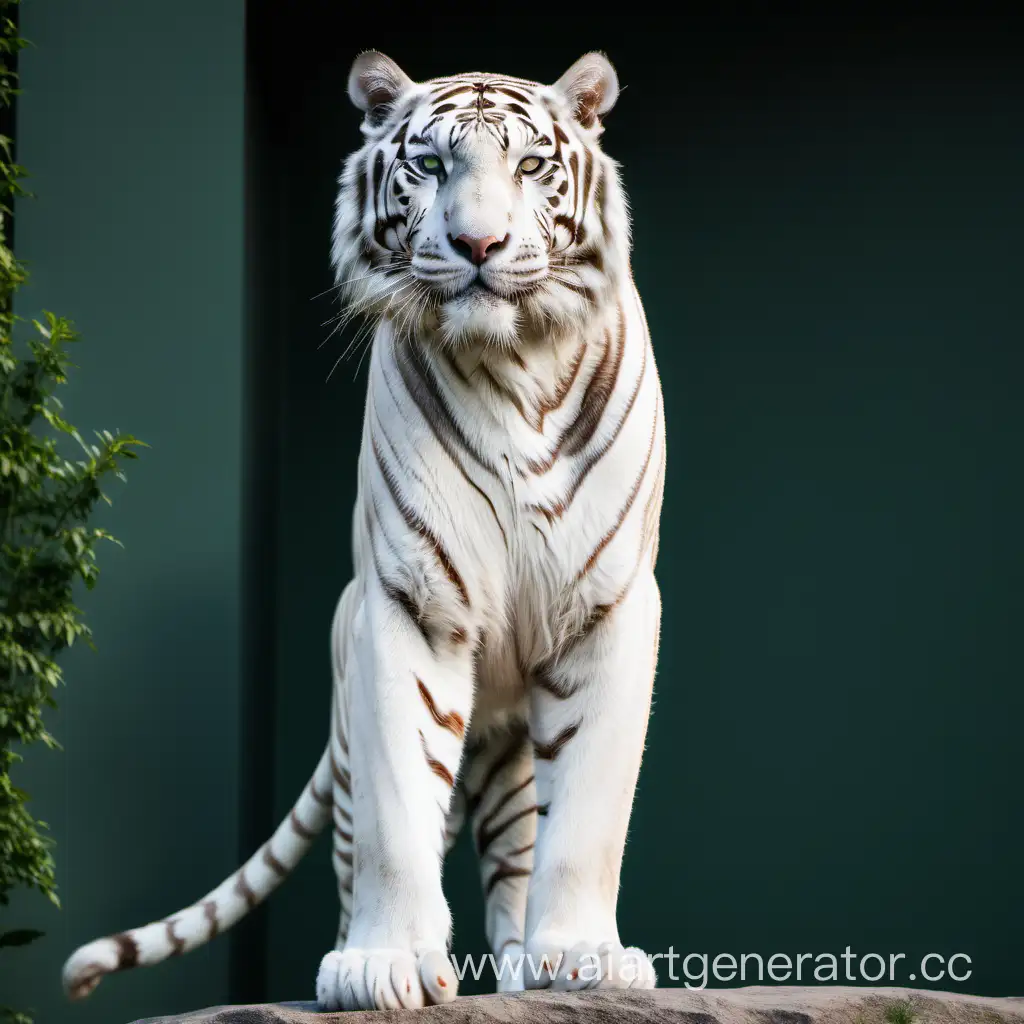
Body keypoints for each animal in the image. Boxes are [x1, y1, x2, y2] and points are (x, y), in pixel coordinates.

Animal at [59, 46, 663, 1007]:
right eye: (431, 165)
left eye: (532, 165)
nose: (479, 245)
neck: (515, 363)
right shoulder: (410, 598)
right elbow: (396, 805)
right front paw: (381, 965)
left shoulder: (608, 604)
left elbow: (589, 809)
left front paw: (583, 960)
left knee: (516, 859)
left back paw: (523, 968)